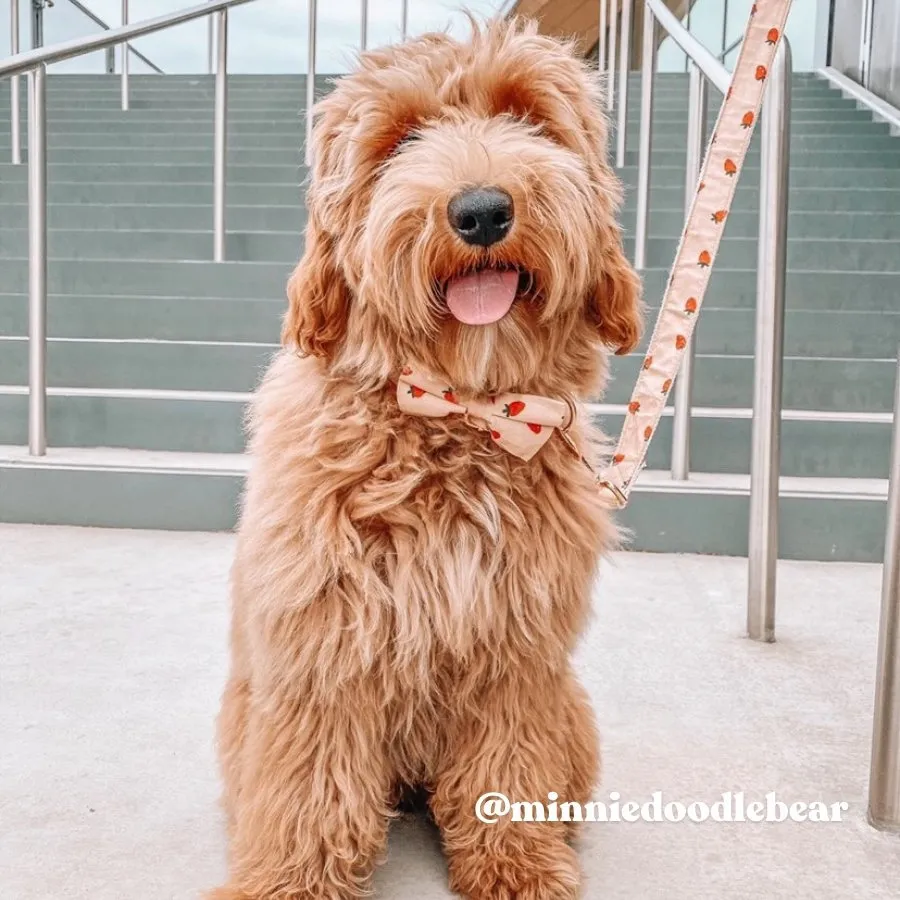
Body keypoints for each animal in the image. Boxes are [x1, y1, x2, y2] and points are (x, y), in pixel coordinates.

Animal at [214, 15, 644, 900]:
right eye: (401, 137)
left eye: (527, 117)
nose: (481, 211)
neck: (459, 413)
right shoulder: (320, 644)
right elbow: (308, 789)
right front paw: (286, 882)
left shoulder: (520, 651)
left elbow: (508, 765)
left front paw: (517, 864)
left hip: (571, 709)